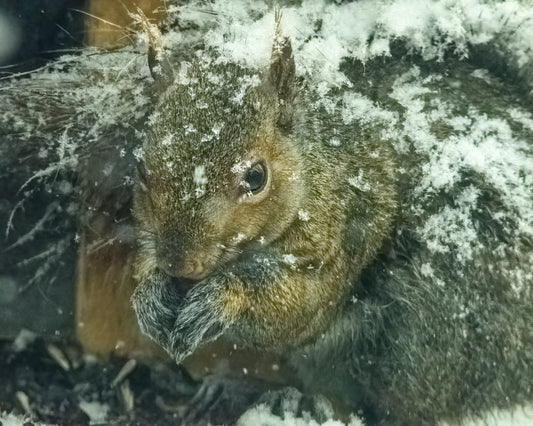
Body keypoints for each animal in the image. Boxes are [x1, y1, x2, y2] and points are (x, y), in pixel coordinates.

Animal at [130, 12, 532, 426]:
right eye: (141, 169)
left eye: (256, 177)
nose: (178, 264)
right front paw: (150, 294)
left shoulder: (342, 230)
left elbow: (302, 304)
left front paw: (222, 298)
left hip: (437, 336)